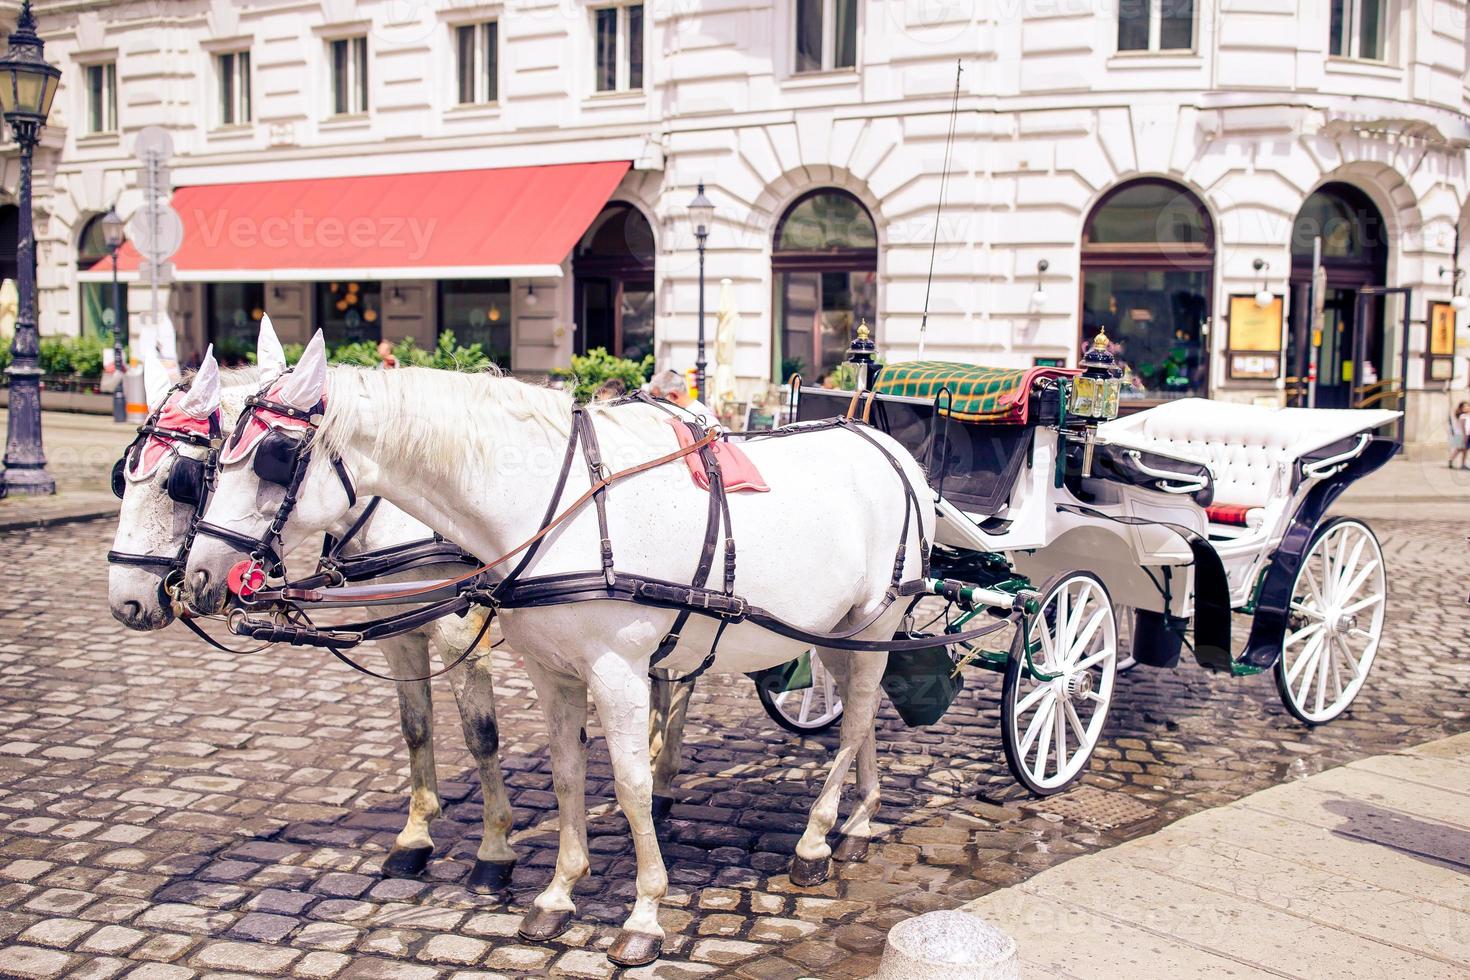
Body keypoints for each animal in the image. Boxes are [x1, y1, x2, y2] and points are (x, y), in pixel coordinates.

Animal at [106, 323, 517, 887]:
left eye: (180, 482)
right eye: (120, 479)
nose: (124, 602)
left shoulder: (461, 631)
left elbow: (481, 736)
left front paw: (494, 848)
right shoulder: (398, 634)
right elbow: (415, 727)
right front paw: (415, 836)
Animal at [183, 329, 929, 963]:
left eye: (274, 458)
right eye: (210, 463)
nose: (195, 578)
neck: (553, 505)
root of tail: (883, 441)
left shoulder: (618, 672)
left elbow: (629, 785)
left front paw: (643, 914)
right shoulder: (551, 672)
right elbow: (567, 774)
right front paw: (559, 893)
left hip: (879, 616)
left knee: (855, 721)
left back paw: (817, 838)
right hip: (839, 629)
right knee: (860, 715)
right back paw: (859, 822)